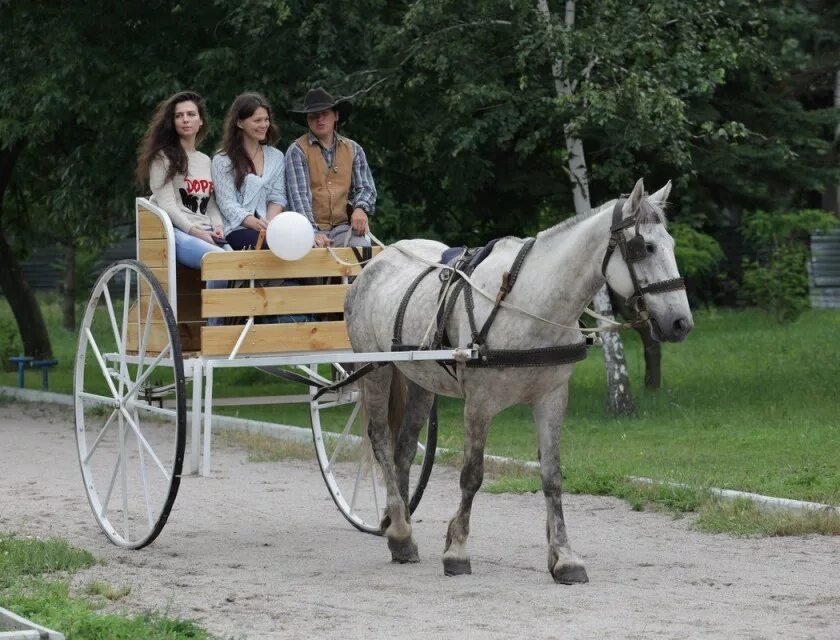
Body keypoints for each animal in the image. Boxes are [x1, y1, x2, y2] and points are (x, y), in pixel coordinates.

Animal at [344, 178, 692, 584]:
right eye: (644, 248)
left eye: (670, 244)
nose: (681, 323)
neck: (530, 303)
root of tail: (375, 262)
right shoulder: (479, 402)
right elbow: (471, 474)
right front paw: (457, 550)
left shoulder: (552, 398)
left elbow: (552, 476)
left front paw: (564, 557)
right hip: (376, 368)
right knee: (380, 438)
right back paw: (399, 529)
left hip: (421, 379)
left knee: (404, 446)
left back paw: (398, 529)